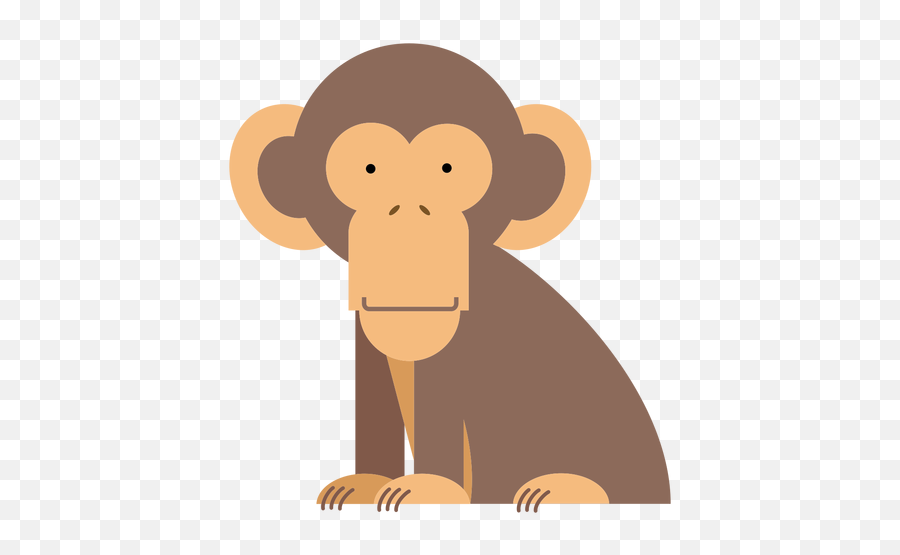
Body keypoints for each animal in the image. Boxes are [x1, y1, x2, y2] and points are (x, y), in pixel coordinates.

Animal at [229, 44, 669, 511]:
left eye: (448, 168)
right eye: (368, 168)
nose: (407, 208)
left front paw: (426, 488)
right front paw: (366, 482)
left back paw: (562, 488)